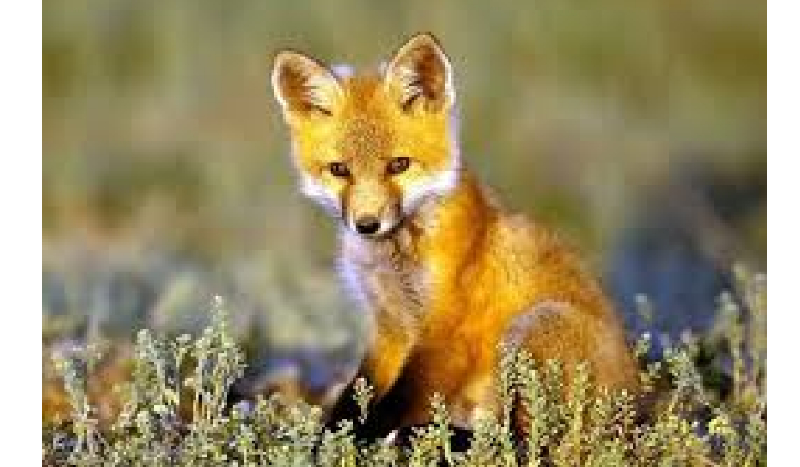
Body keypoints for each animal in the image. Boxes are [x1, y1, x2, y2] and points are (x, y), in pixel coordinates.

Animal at [270, 32, 639, 438]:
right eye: (339, 170)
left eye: (399, 165)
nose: (367, 224)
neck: (397, 254)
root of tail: (638, 405)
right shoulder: (390, 327)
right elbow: (356, 394)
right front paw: (333, 434)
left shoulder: (445, 334)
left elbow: (392, 405)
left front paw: (359, 440)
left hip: (533, 326)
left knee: (527, 438)